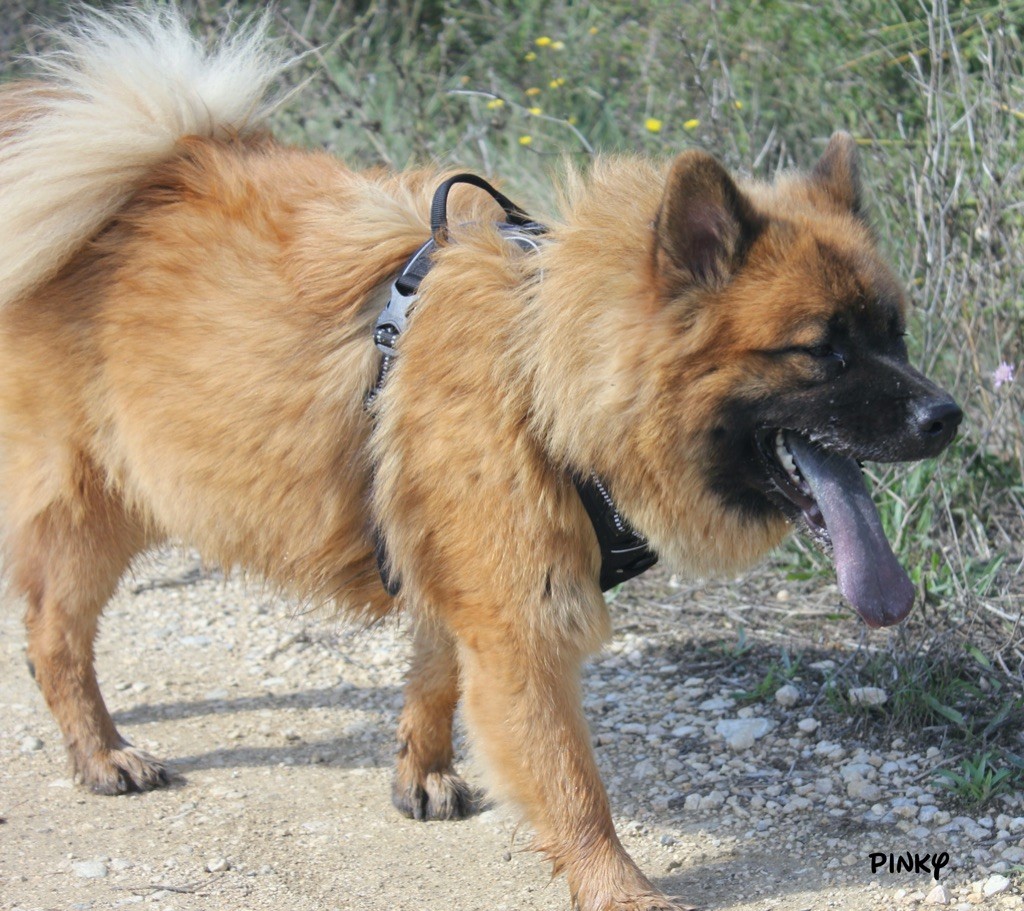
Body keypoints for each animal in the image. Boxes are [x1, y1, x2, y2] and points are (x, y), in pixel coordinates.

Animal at [0, 7, 958, 908]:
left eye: (895, 334)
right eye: (824, 351)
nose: (947, 416)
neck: (542, 370)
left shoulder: (456, 570)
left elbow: (434, 676)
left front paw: (420, 772)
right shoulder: (520, 626)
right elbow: (573, 786)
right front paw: (618, 885)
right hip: (98, 504)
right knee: (53, 630)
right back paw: (102, 752)